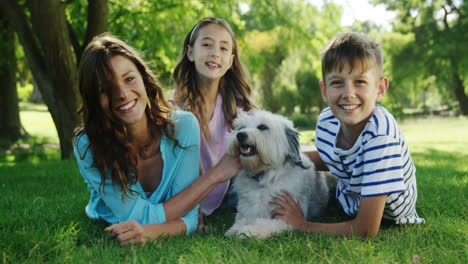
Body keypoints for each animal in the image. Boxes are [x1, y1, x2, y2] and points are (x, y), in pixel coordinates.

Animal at [226, 110, 332, 239]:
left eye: (262, 127)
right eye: (241, 127)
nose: (240, 135)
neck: (264, 178)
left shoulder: (284, 218)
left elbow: (264, 224)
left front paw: (247, 231)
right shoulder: (245, 211)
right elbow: (242, 220)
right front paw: (236, 228)